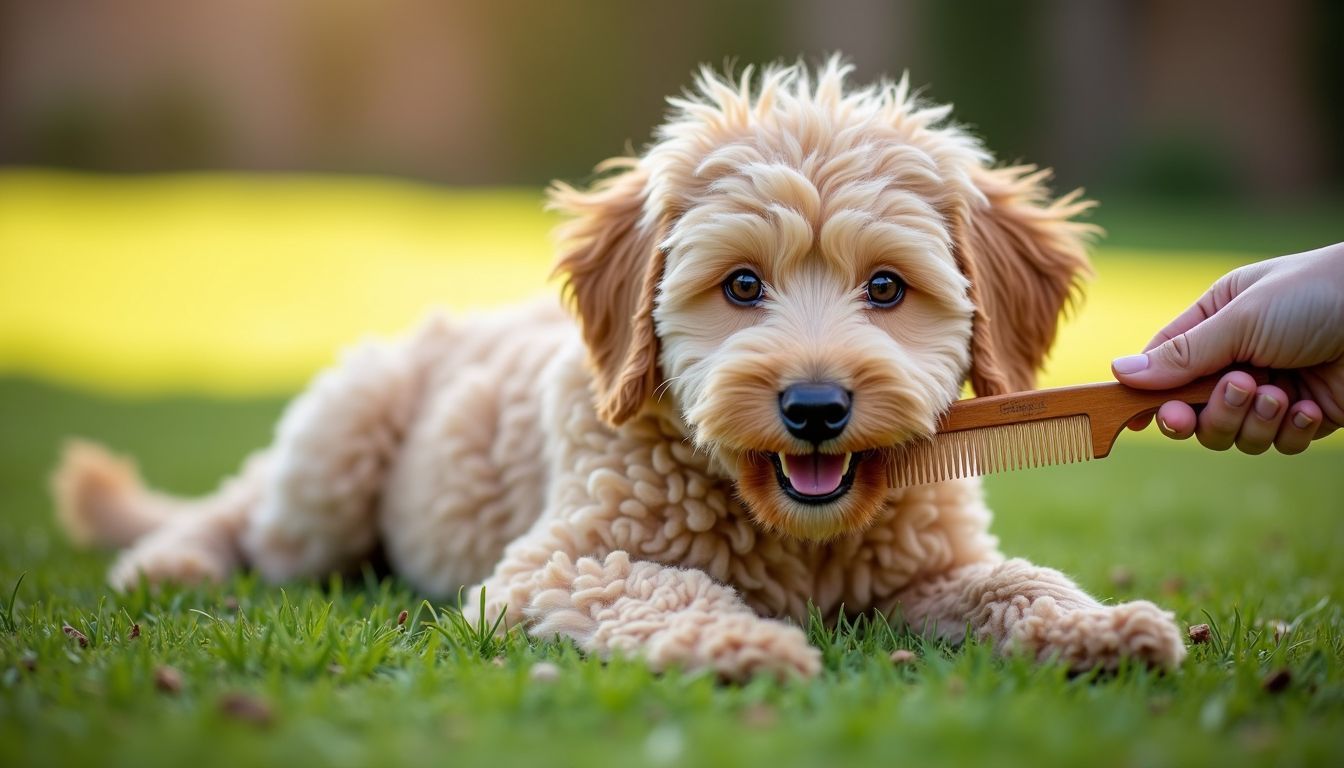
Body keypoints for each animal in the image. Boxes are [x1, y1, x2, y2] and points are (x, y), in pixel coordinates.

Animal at [52, 63, 1188, 683]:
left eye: (886, 288)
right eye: (740, 286)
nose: (816, 408)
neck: (791, 532)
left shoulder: (930, 568)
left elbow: (1016, 583)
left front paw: (1102, 628)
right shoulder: (556, 562)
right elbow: (664, 588)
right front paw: (745, 648)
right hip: (335, 459)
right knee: (249, 517)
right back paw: (173, 560)